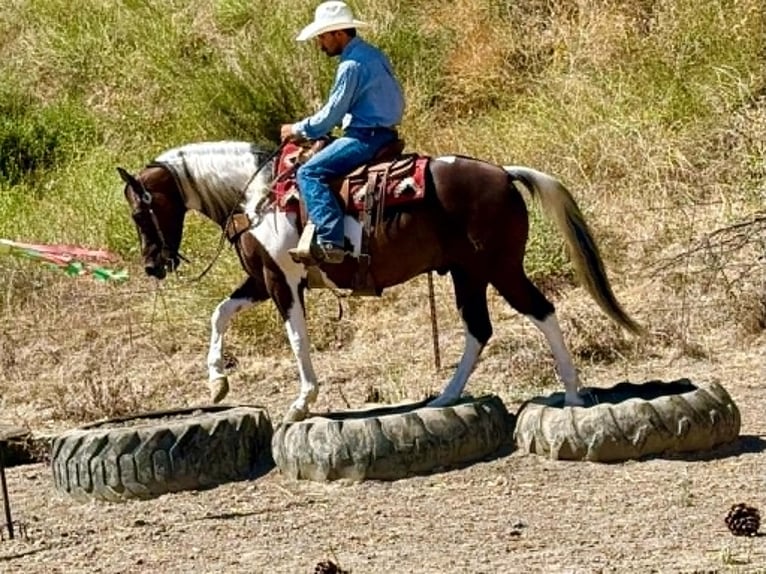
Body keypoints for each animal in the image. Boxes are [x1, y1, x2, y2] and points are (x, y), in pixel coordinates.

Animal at [118, 140, 642, 422]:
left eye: (140, 212)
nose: (152, 265)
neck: (259, 195)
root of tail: (503, 174)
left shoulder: (281, 279)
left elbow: (296, 338)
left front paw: (302, 401)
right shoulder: (261, 280)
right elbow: (219, 314)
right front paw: (216, 384)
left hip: (500, 268)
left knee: (541, 312)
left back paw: (572, 393)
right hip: (468, 273)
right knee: (479, 329)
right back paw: (447, 396)